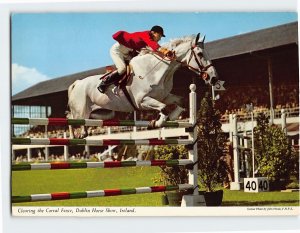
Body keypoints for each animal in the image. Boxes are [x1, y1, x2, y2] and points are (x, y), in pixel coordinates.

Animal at [67, 33, 218, 137]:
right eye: (200, 54)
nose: (213, 78)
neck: (157, 71)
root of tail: (77, 83)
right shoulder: (142, 101)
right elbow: (163, 108)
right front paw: (156, 123)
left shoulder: (164, 96)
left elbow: (181, 101)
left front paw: (172, 117)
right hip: (81, 112)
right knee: (71, 120)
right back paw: (77, 135)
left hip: (100, 113)